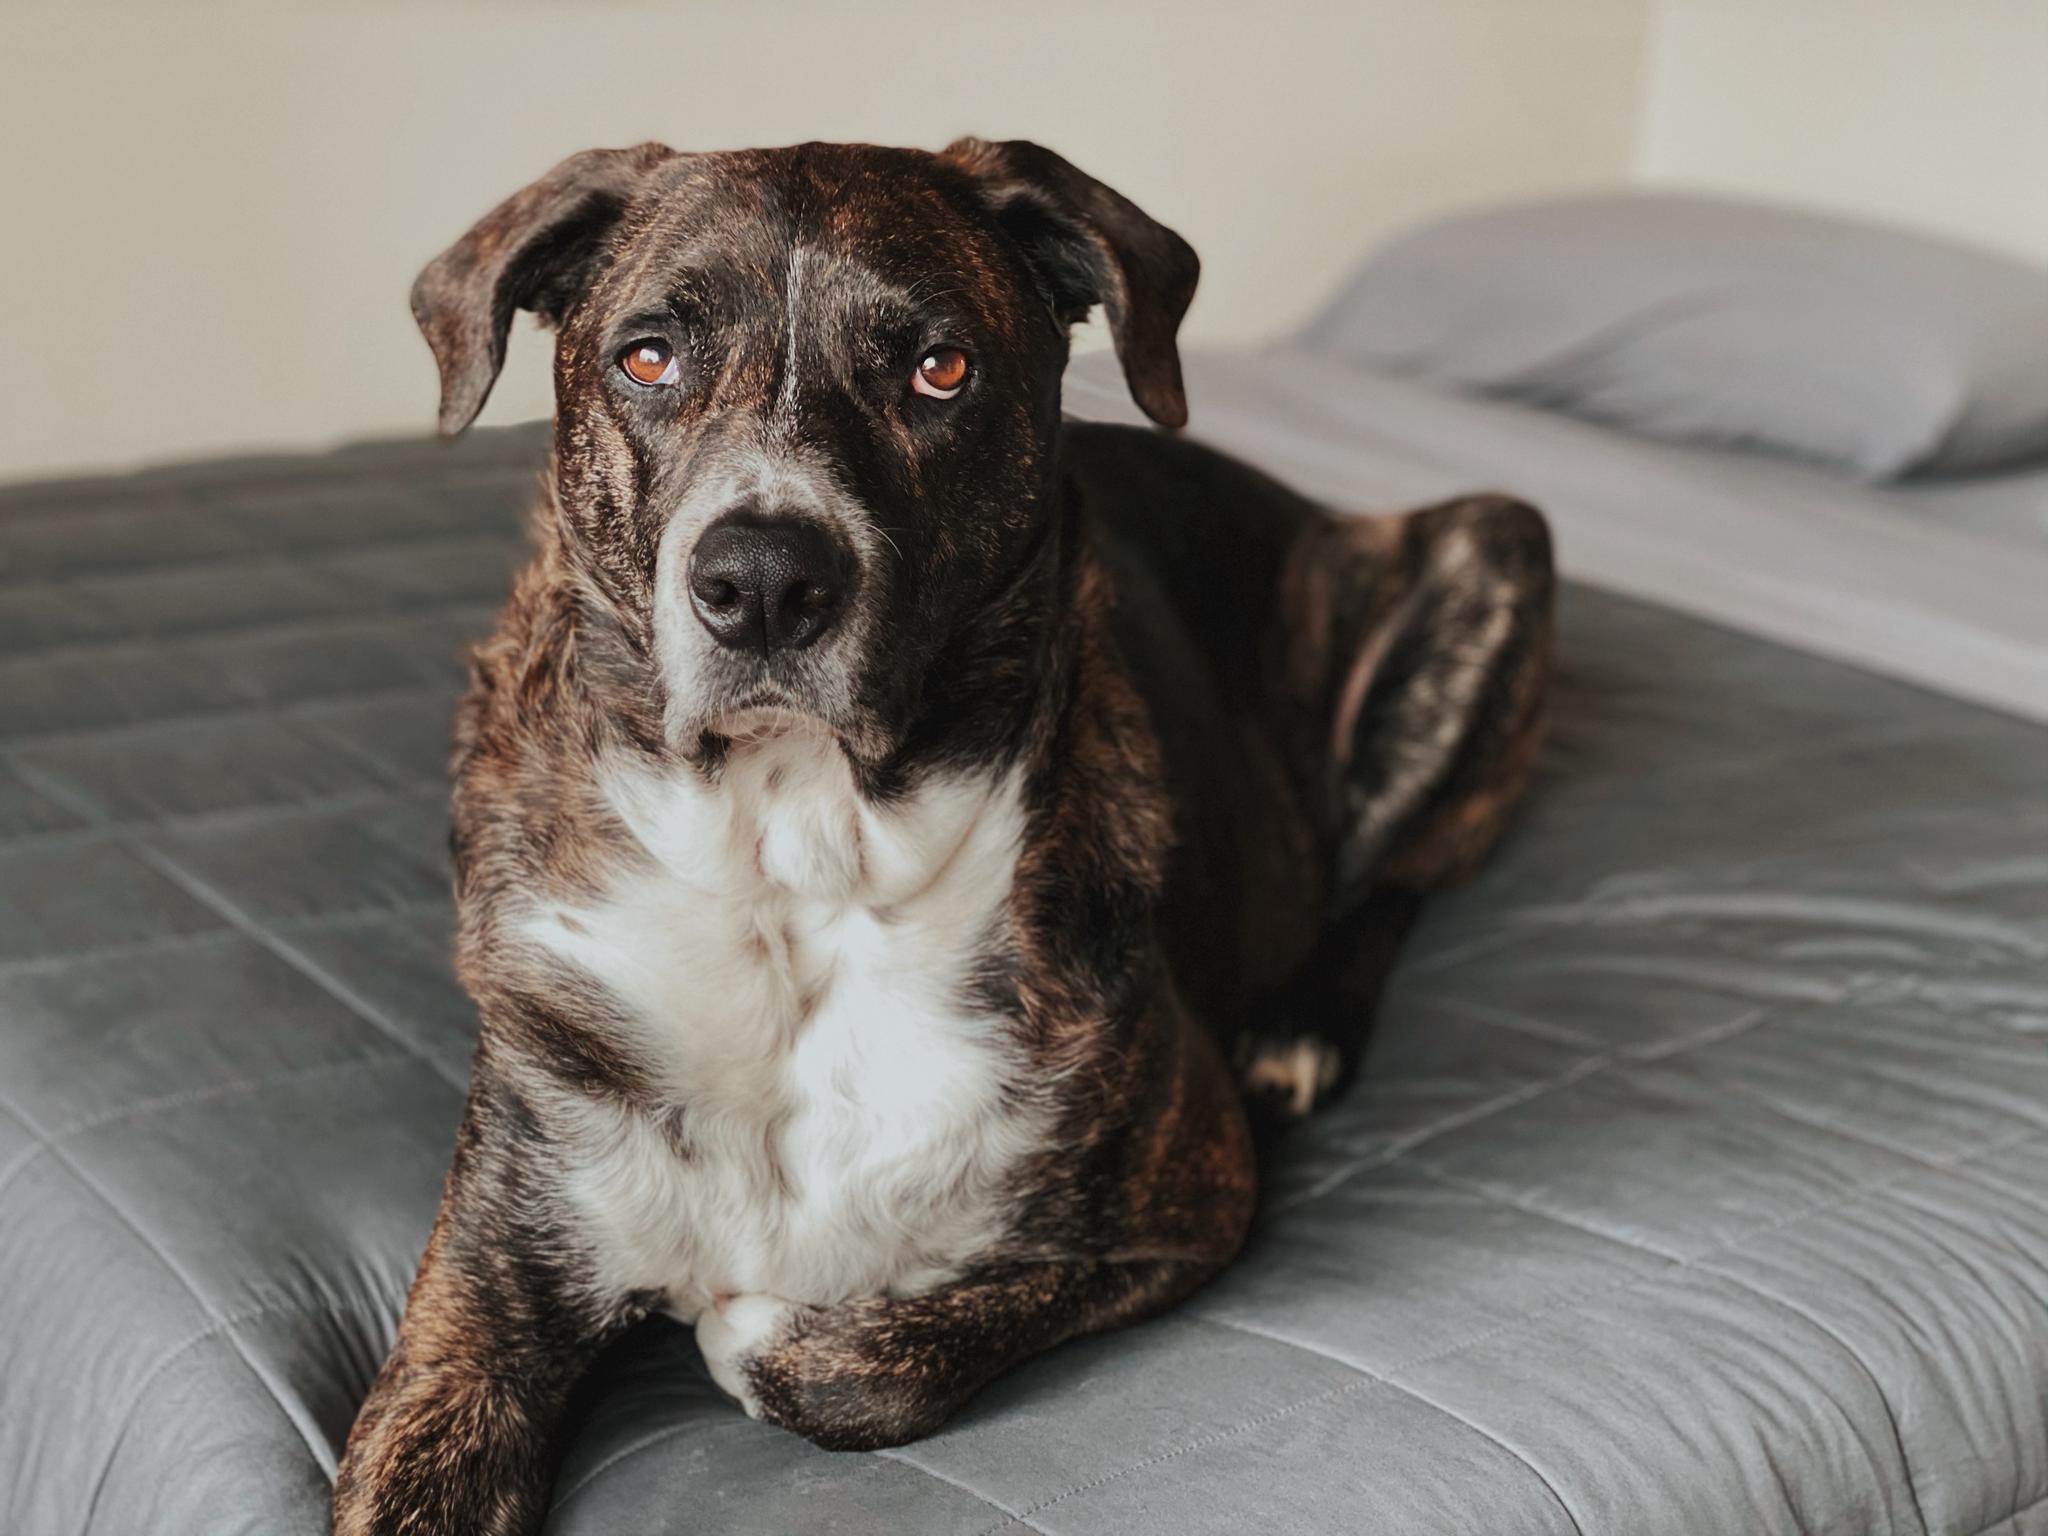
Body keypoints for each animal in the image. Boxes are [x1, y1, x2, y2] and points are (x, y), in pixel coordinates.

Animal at [335, 138, 1548, 1531]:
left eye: (938, 369)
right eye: (647, 358)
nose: (761, 582)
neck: (801, 864)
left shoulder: (1191, 1200)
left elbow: (877, 1365)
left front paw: (751, 1329)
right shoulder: (480, 1314)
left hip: (1497, 545)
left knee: (1396, 880)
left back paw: (1298, 1034)